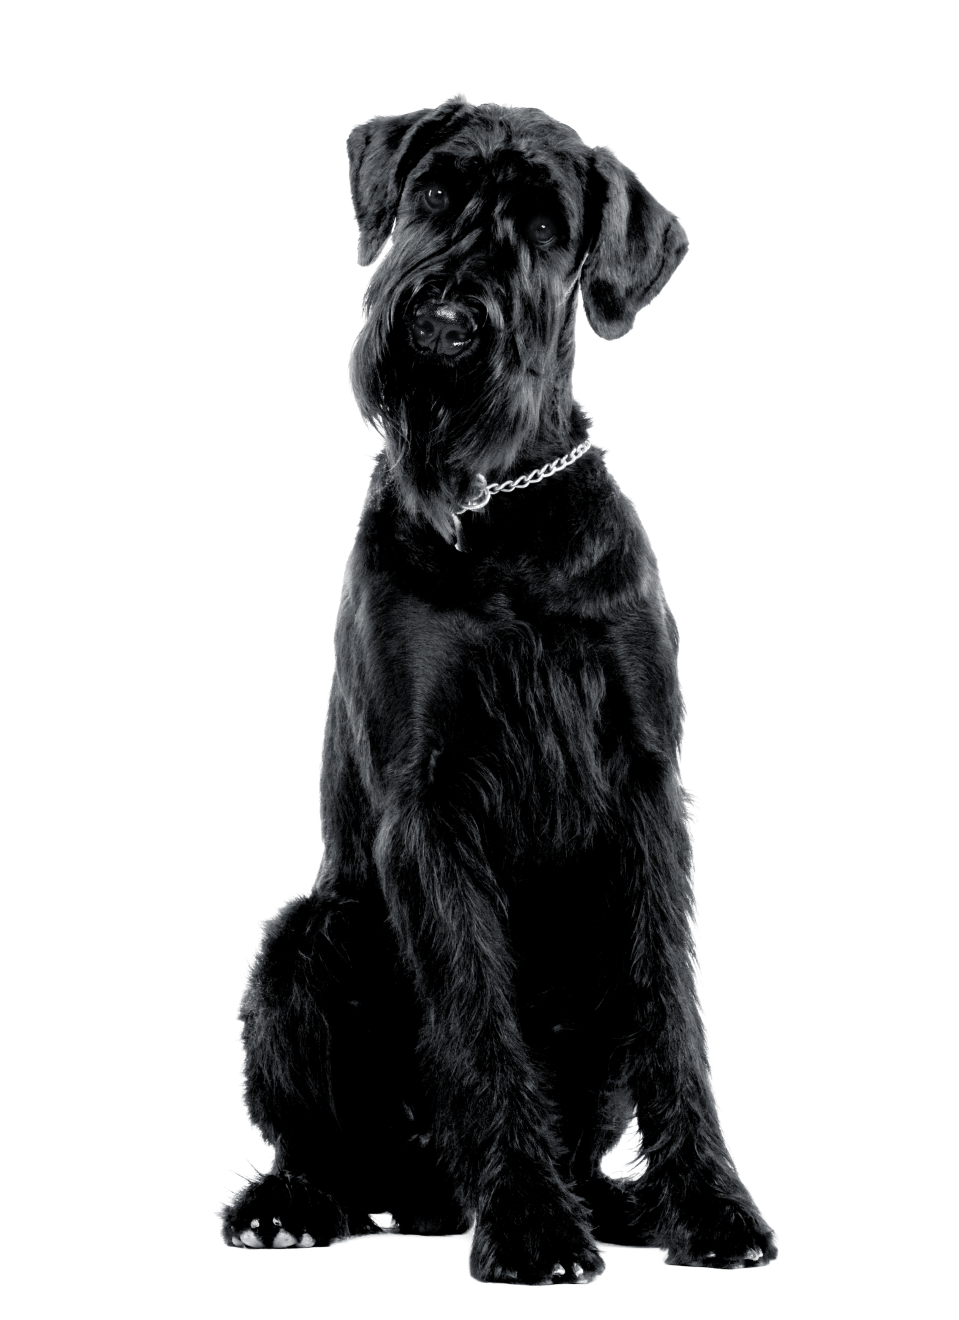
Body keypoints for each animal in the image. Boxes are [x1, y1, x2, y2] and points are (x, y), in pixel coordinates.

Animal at [221, 100, 775, 1277]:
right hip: (307, 943)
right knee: (326, 1148)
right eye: (434, 194)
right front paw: (524, 1222)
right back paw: (296, 1204)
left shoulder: (643, 786)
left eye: (547, 226)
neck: (505, 507)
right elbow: (474, 1011)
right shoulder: (428, 796)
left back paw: (618, 1204)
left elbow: (670, 1009)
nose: (440, 321)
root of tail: (421, 1195)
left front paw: (710, 1205)